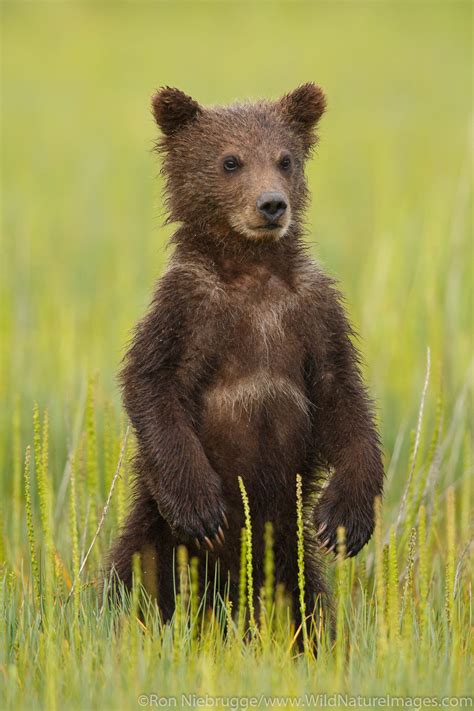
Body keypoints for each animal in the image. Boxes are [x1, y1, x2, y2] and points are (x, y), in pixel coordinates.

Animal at [104, 86, 386, 624]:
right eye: (230, 160)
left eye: (285, 159)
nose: (272, 204)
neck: (253, 271)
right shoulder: (188, 309)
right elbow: (152, 384)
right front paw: (202, 508)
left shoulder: (312, 313)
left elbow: (344, 398)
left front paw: (345, 518)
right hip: (157, 536)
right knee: (131, 577)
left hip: (288, 553)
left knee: (307, 605)